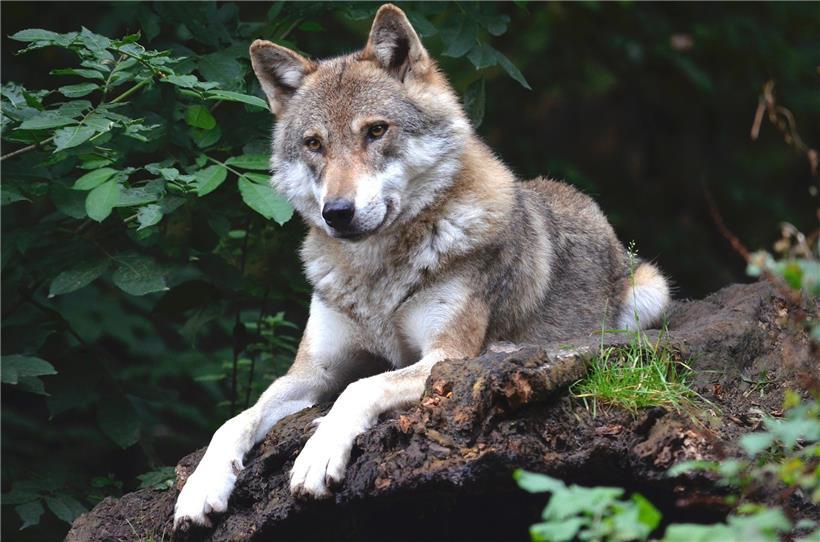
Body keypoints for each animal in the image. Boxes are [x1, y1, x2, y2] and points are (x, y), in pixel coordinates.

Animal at [173, 4, 670, 530]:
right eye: (314, 144)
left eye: (375, 130)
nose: (337, 212)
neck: (376, 275)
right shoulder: (311, 371)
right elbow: (235, 419)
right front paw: (200, 487)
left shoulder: (442, 356)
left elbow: (360, 388)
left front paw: (317, 454)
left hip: (650, 292)